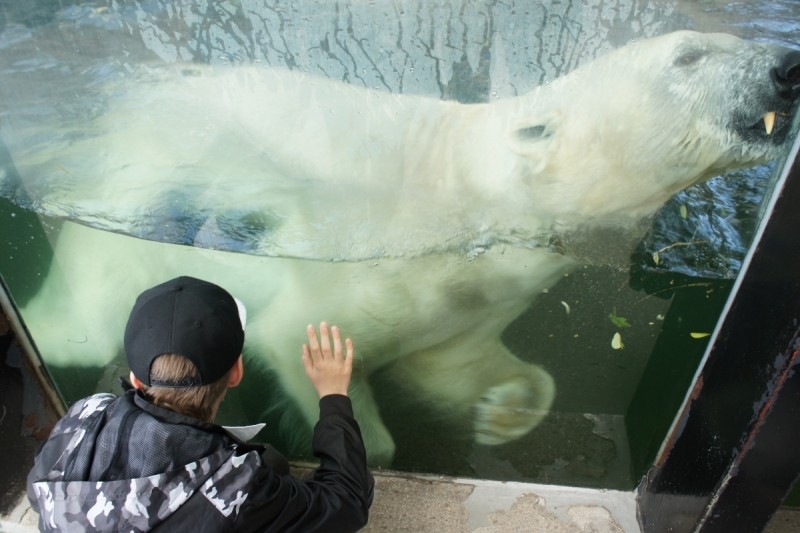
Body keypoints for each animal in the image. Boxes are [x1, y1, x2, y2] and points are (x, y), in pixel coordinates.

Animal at [7, 31, 800, 464]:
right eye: (688, 55)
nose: (785, 64)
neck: (477, 196)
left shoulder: (473, 300)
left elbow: (451, 364)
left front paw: (501, 412)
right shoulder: (378, 262)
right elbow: (294, 331)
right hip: (130, 226)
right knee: (81, 318)